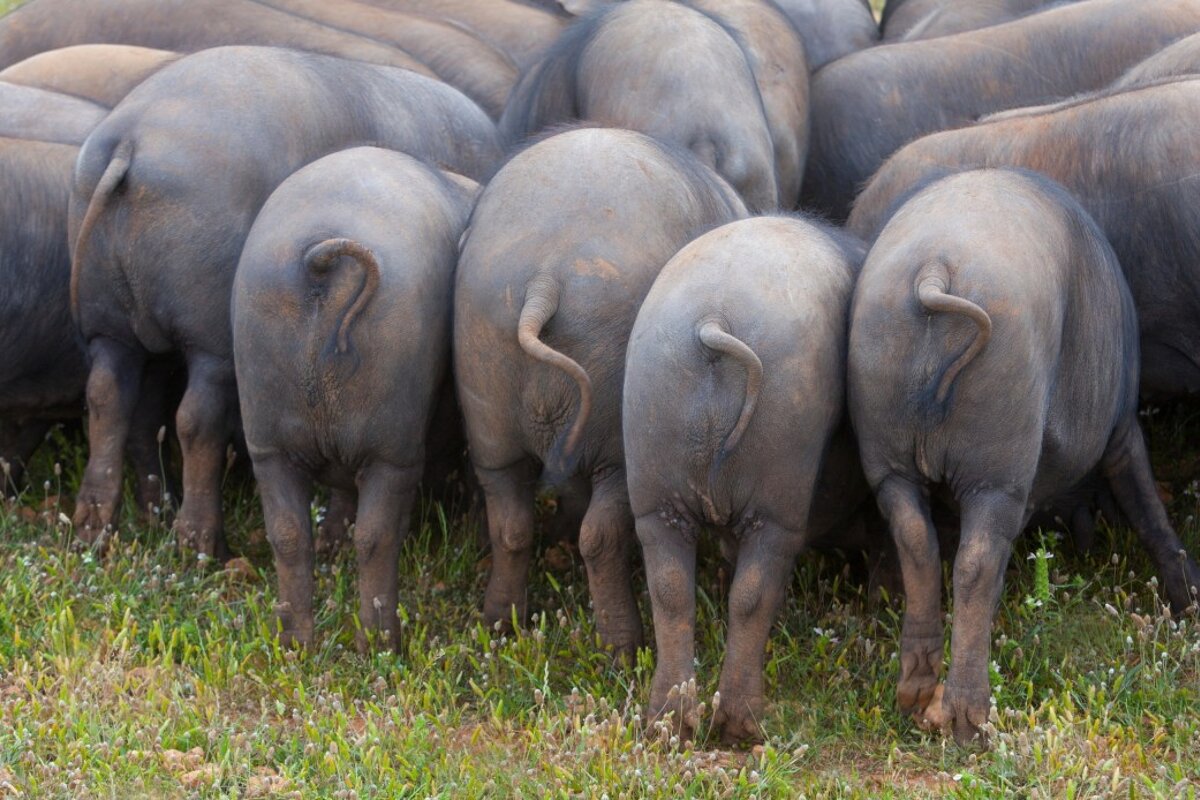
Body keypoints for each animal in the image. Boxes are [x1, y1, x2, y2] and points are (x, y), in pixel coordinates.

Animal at [68, 46, 502, 557]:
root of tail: (131, 141)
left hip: (111, 322)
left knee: (110, 398)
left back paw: (102, 528)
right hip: (208, 331)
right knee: (195, 418)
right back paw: (204, 547)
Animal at [233, 147, 477, 650]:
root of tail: (320, 257)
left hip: (267, 438)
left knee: (288, 533)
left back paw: (296, 642)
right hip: (393, 443)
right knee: (377, 536)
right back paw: (383, 645)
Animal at [454, 126, 748, 658]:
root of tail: (544, 278)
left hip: (487, 399)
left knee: (510, 523)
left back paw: (500, 622)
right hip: (618, 434)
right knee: (600, 534)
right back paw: (623, 648)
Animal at [624, 215, 864, 744]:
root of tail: (713, 321)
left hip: (653, 477)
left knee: (671, 589)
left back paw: (670, 723)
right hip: (779, 491)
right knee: (754, 592)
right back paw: (744, 727)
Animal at [848, 169, 1200, 746]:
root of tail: (934, 270)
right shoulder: (1121, 424)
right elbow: (1146, 503)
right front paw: (1190, 596)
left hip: (886, 446)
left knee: (918, 543)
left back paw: (915, 697)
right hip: (999, 456)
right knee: (974, 559)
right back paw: (970, 723)